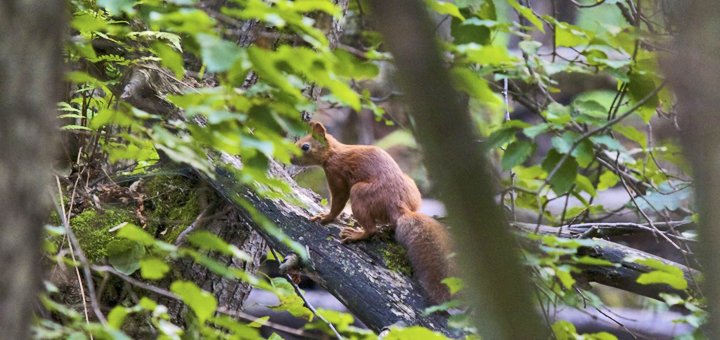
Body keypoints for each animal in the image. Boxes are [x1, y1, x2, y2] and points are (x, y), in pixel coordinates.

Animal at [290, 121, 452, 302]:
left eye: (305, 146)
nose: (290, 158)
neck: (334, 152)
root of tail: (399, 208)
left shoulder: (336, 174)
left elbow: (338, 202)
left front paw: (325, 217)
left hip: (360, 193)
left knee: (371, 229)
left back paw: (356, 234)